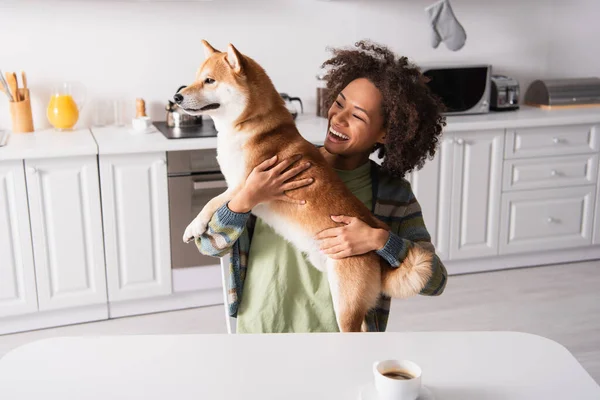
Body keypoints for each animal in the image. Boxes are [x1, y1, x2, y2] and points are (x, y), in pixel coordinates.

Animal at [178, 40, 432, 332]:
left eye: (209, 81)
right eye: (197, 78)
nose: (176, 97)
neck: (252, 126)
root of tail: (377, 258)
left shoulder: (243, 185)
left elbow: (210, 202)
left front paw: (193, 227)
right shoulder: (238, 186)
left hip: (345, 303)